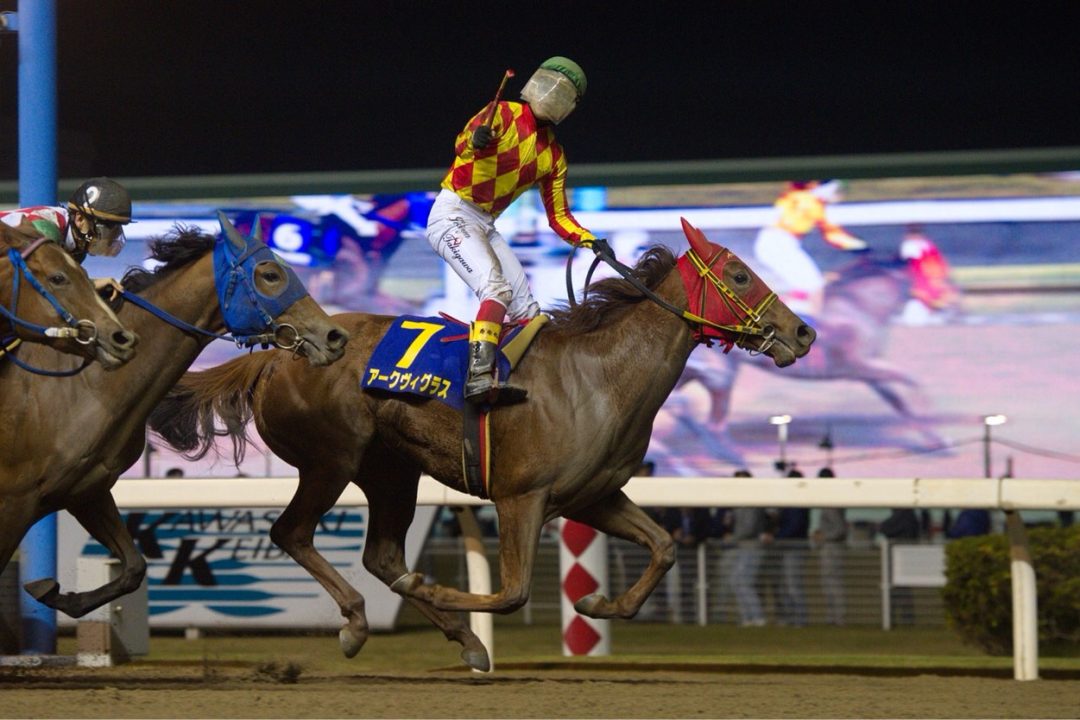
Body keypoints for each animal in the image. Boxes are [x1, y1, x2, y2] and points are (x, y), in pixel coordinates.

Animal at [150, 218, 814, 671]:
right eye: (739, 275)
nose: (803, 333)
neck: (599, 377)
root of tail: (276, 353)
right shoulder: (523, 496)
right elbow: (514, 590)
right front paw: (440, 589)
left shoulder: (592, 496)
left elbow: (665, 547)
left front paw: (598, 604)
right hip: (331, 458)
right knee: (293, 533)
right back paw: (360, 623)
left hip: (392, 471)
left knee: (382, 557)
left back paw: (461, 638)